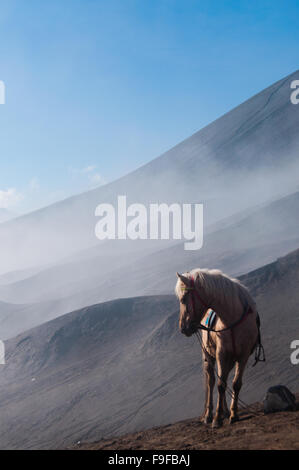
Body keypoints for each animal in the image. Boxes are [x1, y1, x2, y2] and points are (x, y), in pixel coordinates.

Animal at [176, 268, 264, 426]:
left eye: (184, 298)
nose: (183, 328)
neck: (232, 319)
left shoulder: (243, 356)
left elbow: (235, 384)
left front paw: (233, 414)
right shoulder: (221, 355)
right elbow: (219, 385)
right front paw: (216, 418)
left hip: (230, 360)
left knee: (224, 379)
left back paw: (225, 412)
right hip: (209, 357)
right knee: (211, 381)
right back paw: (209, 415)